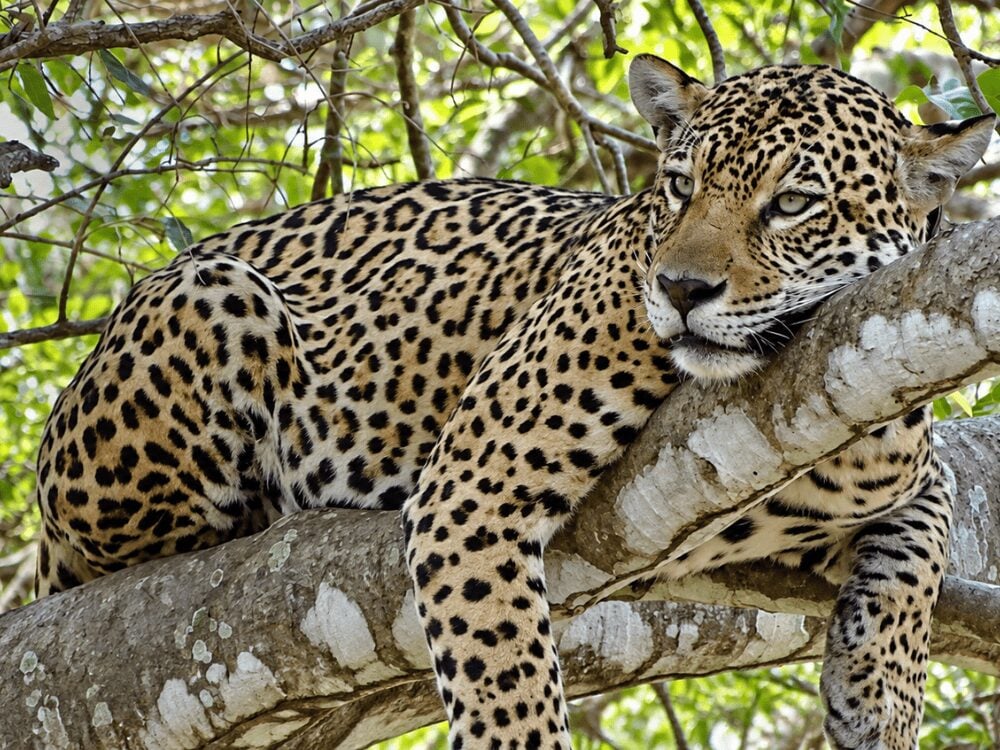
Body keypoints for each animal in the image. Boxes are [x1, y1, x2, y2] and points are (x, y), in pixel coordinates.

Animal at [32, 54, 993, 749]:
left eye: (793, 202)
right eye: (680, 186)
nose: (680, 289)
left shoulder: (896, 438)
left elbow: (924, 536)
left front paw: (879, 697)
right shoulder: (473, 487)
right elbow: (507, 685)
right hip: (212, 299)